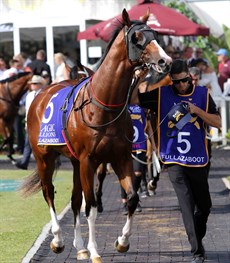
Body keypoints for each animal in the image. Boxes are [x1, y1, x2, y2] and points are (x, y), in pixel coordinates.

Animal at [19, 9, 172, 262]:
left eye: (156, 35)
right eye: (137, 38)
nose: (165, 61)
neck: (103, 104)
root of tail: (41, 94)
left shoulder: (120, 157)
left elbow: (131, 198)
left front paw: (121, 242)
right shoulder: (88, 160)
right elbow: (90, 205)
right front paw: (94, 250)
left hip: (73, 161)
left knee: (74, 199)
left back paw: (79, 247)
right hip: (44, 157)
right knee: (49, 192)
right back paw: (58, 240)